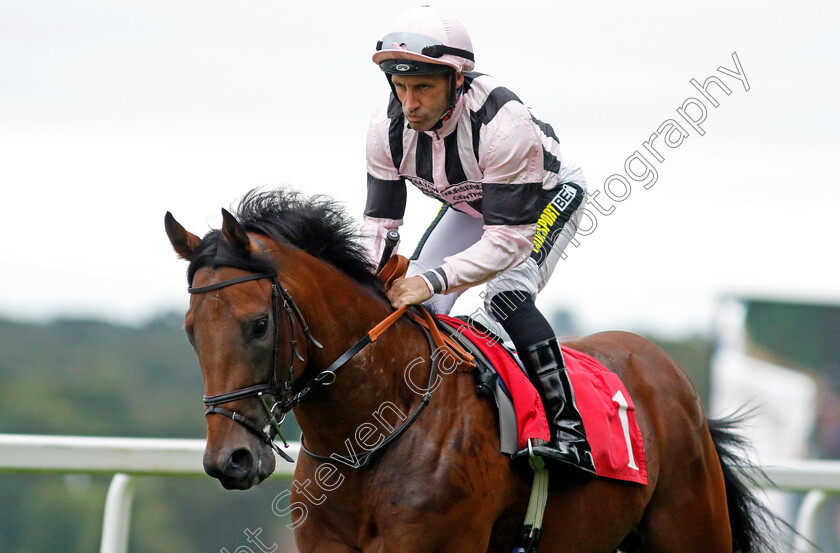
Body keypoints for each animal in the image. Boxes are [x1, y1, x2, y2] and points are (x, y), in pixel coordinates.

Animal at [164, 188, 780, 548]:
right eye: (190, 329)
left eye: (257, 325)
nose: (229, 460)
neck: (371, 432)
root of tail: (666, 371)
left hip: (690, 529)